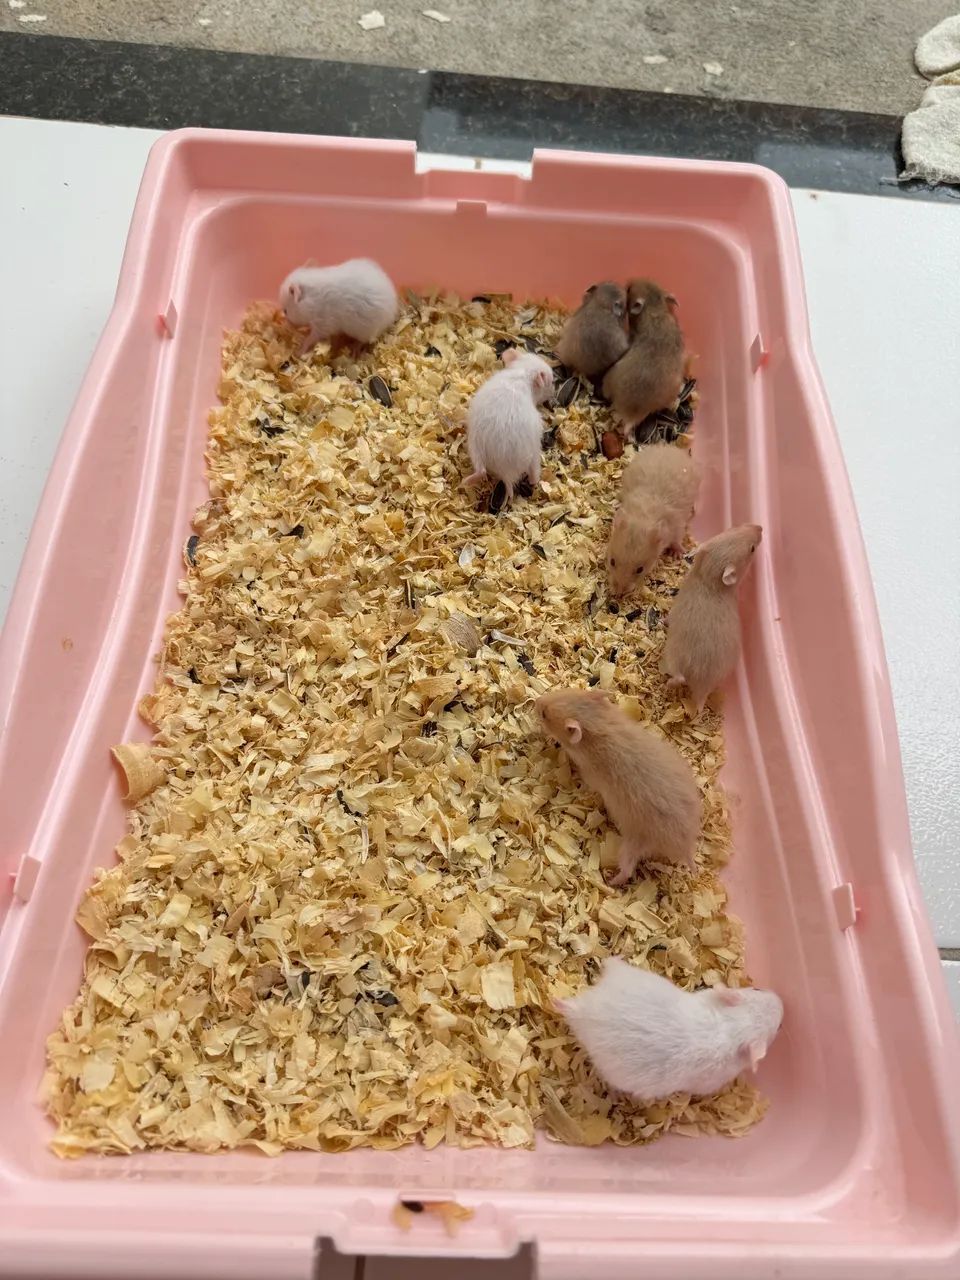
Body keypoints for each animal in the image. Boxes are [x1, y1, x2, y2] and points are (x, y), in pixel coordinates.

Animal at [463, 349, 555, 500]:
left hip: (474, 446)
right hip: (534, 452)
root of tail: (505, 471)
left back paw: (464, 482)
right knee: (533, 475)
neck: (523, 373)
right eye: (550, 381)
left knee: (481, 471)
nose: (553, 394)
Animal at [536, 687, 700, 885]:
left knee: (627, 870)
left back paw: (610, 882)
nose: (536, 701)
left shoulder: (591, 776)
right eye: (565, 690)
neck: (597, 724)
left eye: (544, 714)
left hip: (634, 843)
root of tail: (686, 847)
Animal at [556, 957, 783, 1102]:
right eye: (777, 1030)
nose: (782, 1004)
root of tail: (591, 1007)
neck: (731, 1027)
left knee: (609, 961)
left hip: (624, 975)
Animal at [606, 443, 700, 598]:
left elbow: (676, 542)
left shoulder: (677, 528)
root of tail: (671, 448)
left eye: (640, 569)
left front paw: (678, 554)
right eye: (612, 561)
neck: (642, 516)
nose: (619, 593)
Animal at [661, 524, 763, 714]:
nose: (760, 527)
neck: (708, 577)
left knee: (679, 678)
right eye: (752, 549)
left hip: (672, 656)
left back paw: (669, 685)